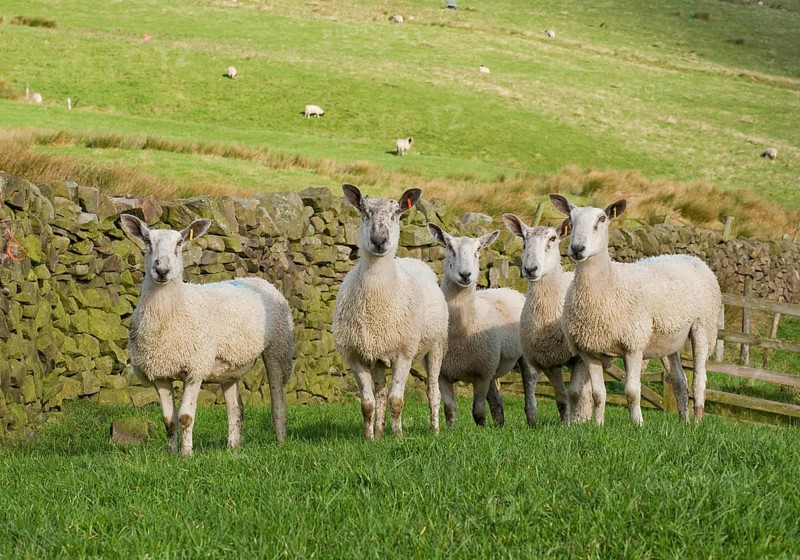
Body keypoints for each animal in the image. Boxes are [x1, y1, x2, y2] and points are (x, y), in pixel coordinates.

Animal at [119, 214, 293, 455]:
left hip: (278, 347)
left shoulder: (195, 368)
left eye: (179, 243)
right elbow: (169, 420)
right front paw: (171, 453)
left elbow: (185, 417)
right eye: (147, 241)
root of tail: (259, 279)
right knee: (236, 408)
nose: (162, 270)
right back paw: (233, 447)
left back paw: (280, 440)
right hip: (230, 366)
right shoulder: (159, 372)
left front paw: (186, 454)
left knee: (277, 400)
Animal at [333, 184, 448, 440]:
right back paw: (378, 431)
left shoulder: (404, 354)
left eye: (397, 213)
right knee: (381, 395)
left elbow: (398, 400)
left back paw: (436, 429)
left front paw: (398, 436)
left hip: (436, 345)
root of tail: (413, 260)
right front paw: (369, 438)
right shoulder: (356, 356)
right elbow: (368, 404)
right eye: (364, 211)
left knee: (432, 391)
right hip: (377, 354)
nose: (379, 240)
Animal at [427, 223, 538, 427]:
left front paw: (481, 429)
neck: (461, 330)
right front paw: (450, 431)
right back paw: (500, 424)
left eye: (478, 250)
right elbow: (450, 410)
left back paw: (532, 419)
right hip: (491, 363)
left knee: (529, 382)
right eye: (450, 247)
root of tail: (509, 289)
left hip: (521, 356)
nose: (465, 275)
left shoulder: (482, 375)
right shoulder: (443, 374)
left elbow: (478, 412)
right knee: (496, 399)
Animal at [502, 214, 595, 423]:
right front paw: (566, 422)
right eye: (523, 239)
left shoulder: (579, 357)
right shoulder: (548, 360)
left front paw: (577, 423)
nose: (530, 269)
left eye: (553, 238)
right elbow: (561, 397)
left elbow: (576, 392)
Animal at [550, 195, 722, 426]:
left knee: (700, 380)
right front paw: (598, 425)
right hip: (668, 339)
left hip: (703, 328)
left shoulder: (633, 345)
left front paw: (638, 424)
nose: (577, 248)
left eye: (602, 220)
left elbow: (632, 392)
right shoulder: (590, 350)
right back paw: (683, 421)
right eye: (571, 219)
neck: (609, 284)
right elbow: (598, 394)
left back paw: (696, 421)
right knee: (679, 379)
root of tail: (692, 258)